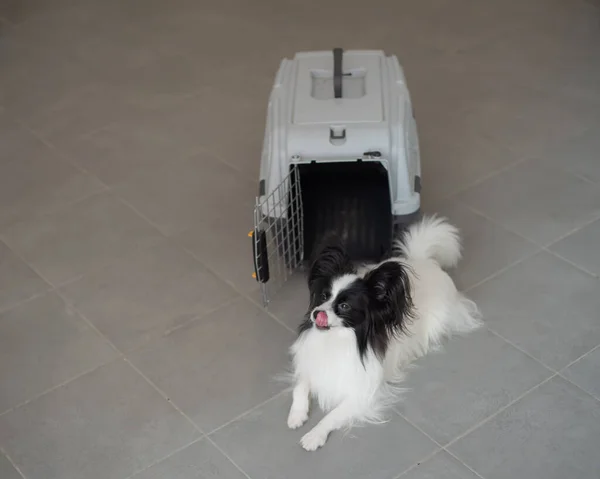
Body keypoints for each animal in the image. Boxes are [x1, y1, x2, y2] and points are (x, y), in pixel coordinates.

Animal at [288, 216, 482, 452]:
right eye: (323, 296)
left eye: (344, 306)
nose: (317, 313)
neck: (335, 340)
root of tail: (424, 261)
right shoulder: (309, 366)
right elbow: (300, 386)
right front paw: (296, 415)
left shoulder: (362, 394)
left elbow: (332, 415)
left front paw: (314, 435)